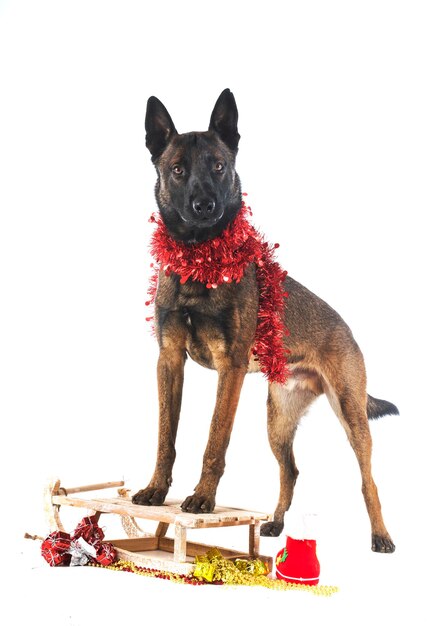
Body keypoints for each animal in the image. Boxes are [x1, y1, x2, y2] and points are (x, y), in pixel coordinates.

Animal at [133, 89, 398, 552]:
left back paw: (381, 535)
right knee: (290, 470)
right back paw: (274, 522)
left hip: (351, 414)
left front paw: (202, 499)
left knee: (368, 479)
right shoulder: (169, 361)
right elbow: (166, 436)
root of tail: (346, 327)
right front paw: (157, 490)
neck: (199, 259)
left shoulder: (231, 368)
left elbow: (215, 439)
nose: (205, 204)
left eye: (219, 166)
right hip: (278, 421)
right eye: (178, 170)